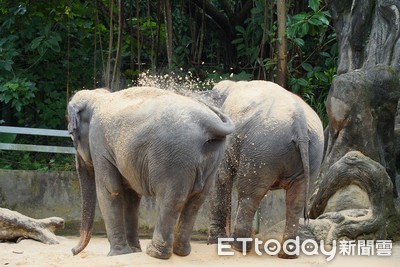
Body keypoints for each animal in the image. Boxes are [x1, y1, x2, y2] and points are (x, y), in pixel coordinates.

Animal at [66, 87, 234, 260]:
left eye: (71, 134)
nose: (72, 251)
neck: (98, 98)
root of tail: (209, 122)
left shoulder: (99, 144)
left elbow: (109, 191)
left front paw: (117, 254)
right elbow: (131, 196)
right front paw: (133, 251)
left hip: (174, 159)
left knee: (171, 200)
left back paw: (155, 253)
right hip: (213, 157)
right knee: (196, 201)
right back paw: (180, 252)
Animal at [202, 80, 324, 260]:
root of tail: (300, 124)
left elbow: (222, 177)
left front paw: (216, 242)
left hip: (263, 149)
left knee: (249, 195)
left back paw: (238, 247)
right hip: (311, 153)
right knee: (296, 201)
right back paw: (286, 255)